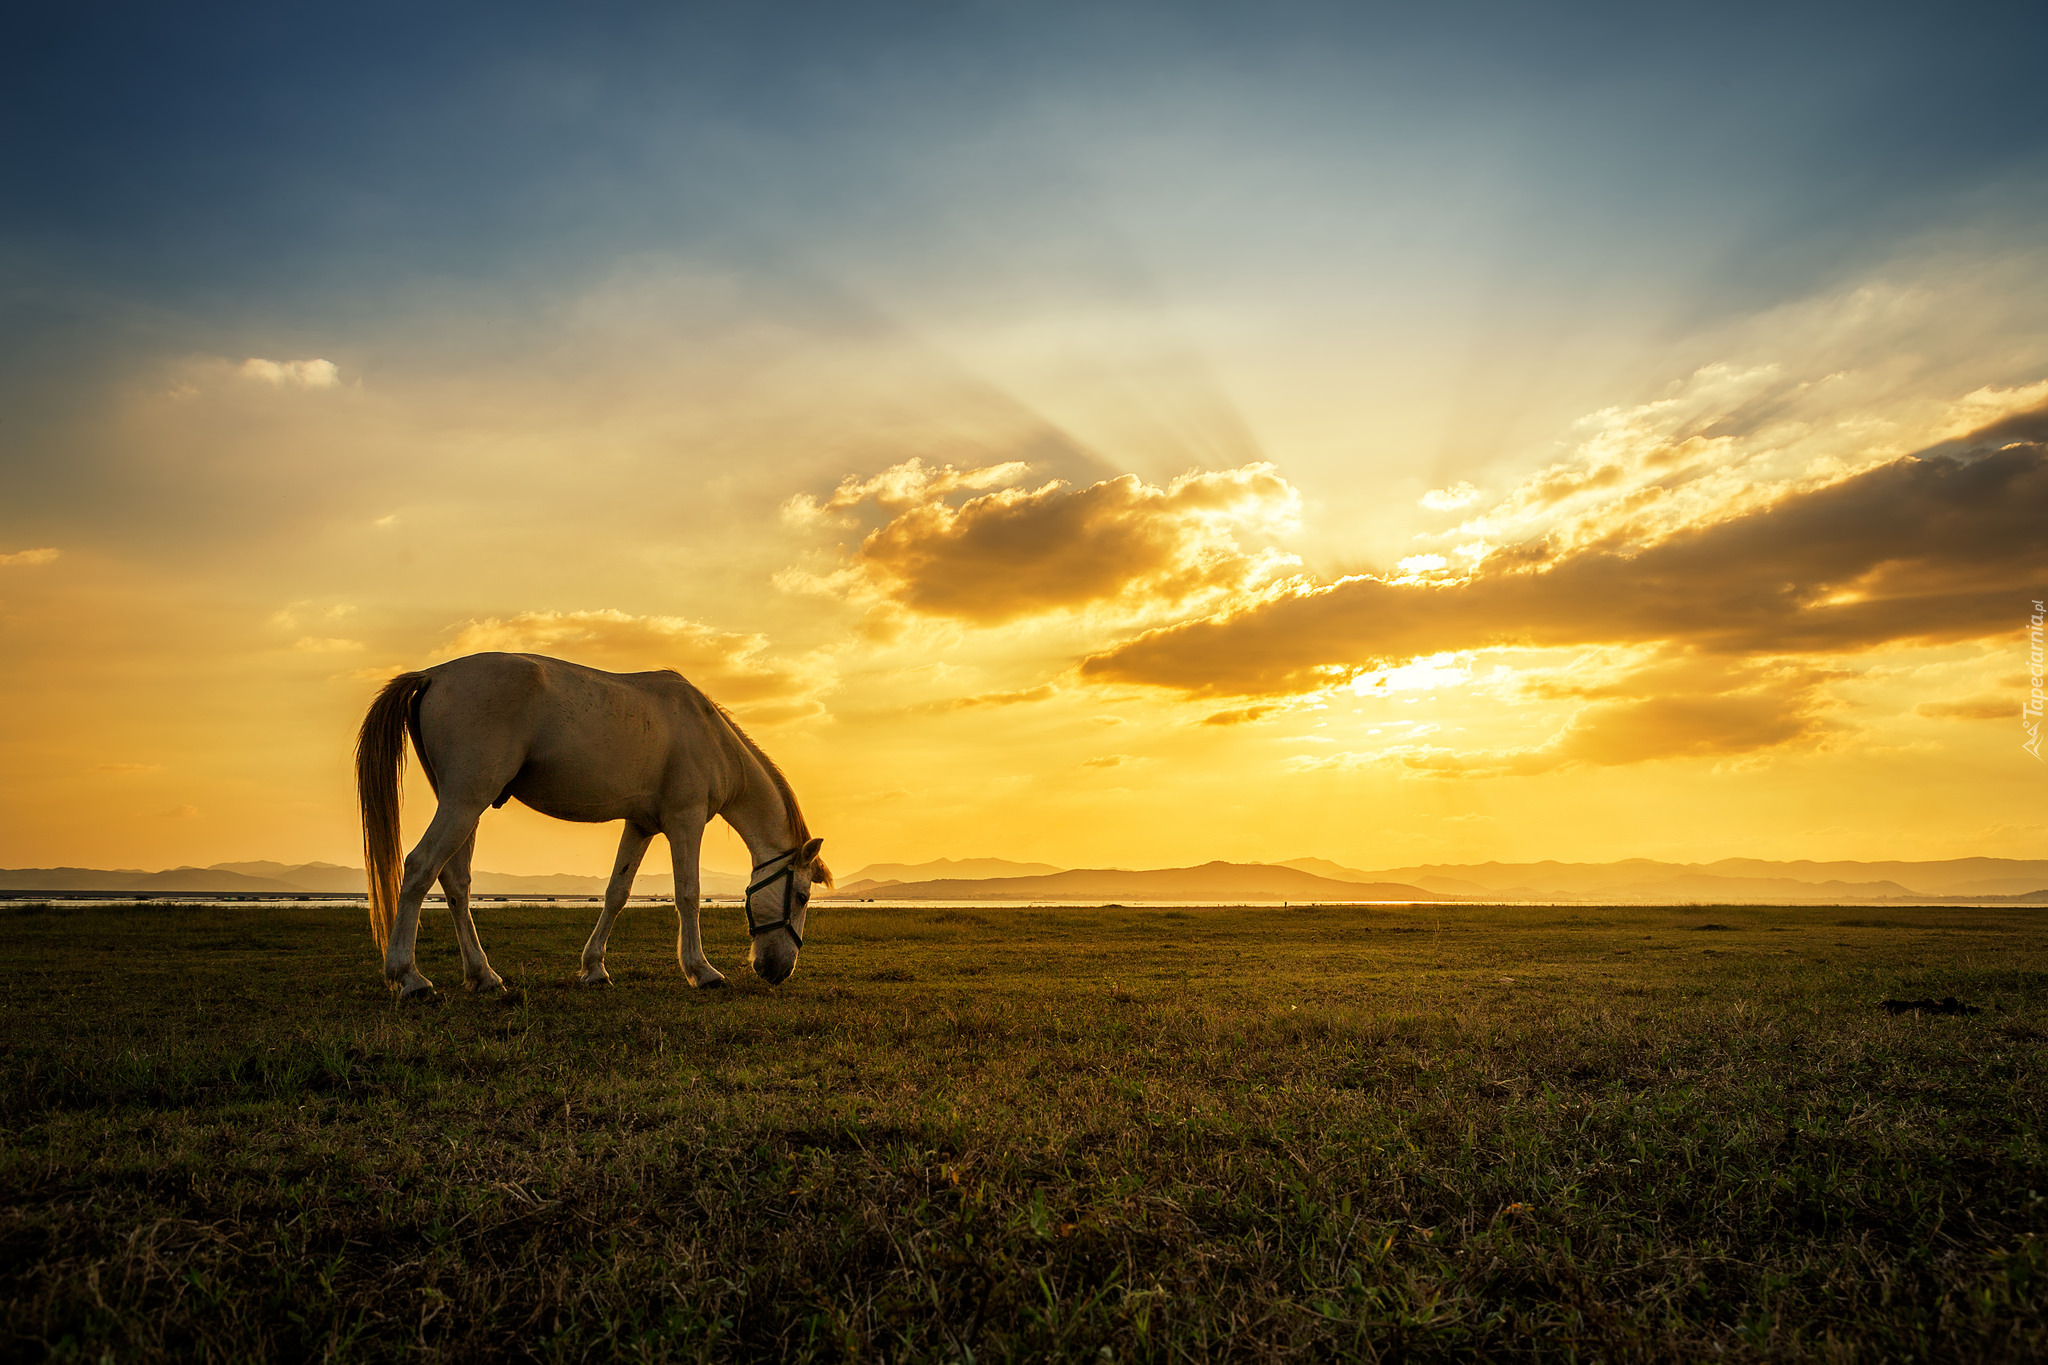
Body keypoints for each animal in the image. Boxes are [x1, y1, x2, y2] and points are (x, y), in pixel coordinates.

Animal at [356, 650, 827, 994]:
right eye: (802, 896)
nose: (778, 970)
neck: (709, 735)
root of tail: (433, 675)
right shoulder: (685, 821)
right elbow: (688, 894)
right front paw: (702, 970)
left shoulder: (640, 825)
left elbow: (617, 893)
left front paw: (594, 968)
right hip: (465, 799)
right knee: (420, 867)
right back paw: (409, 977)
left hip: (463, 803)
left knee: (455, 882)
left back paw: (483, 976)